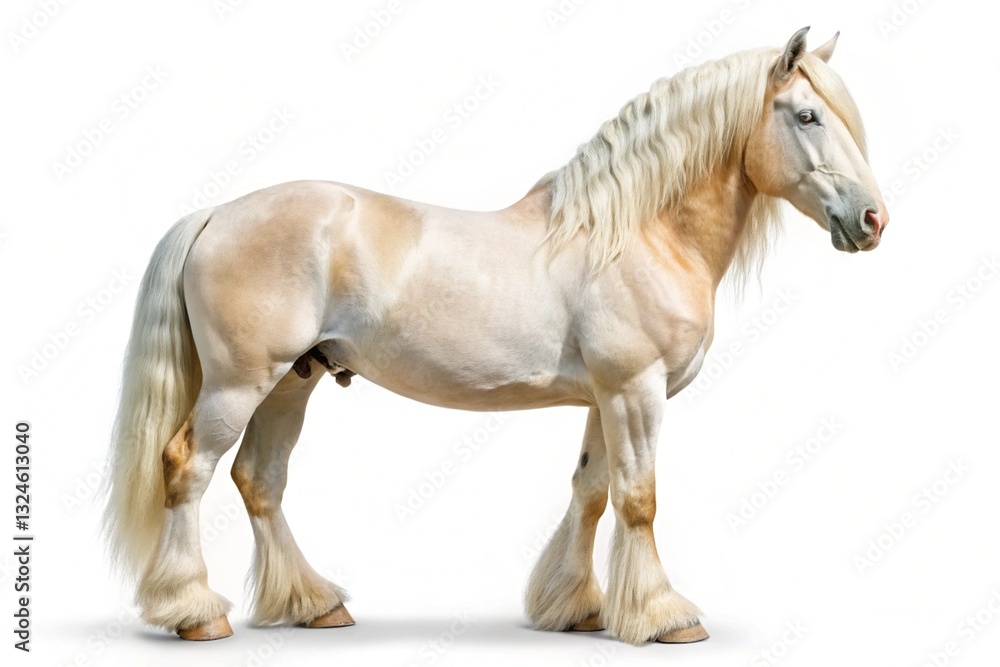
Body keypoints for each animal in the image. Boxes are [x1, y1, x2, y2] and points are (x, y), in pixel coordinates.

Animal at [101, 27, 888, 645]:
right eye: (808, 115)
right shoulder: (636, 390)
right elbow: (638, 499)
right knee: (188, 469)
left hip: (292, 381)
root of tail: (216, 213)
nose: (874, 220)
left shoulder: (604, 397)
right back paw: (195, 613)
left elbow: (591, 493)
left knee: (259, 482)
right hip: (239, 384)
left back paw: (314, 604)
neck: (639, 232)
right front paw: (666, 617)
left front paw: (577, 609)